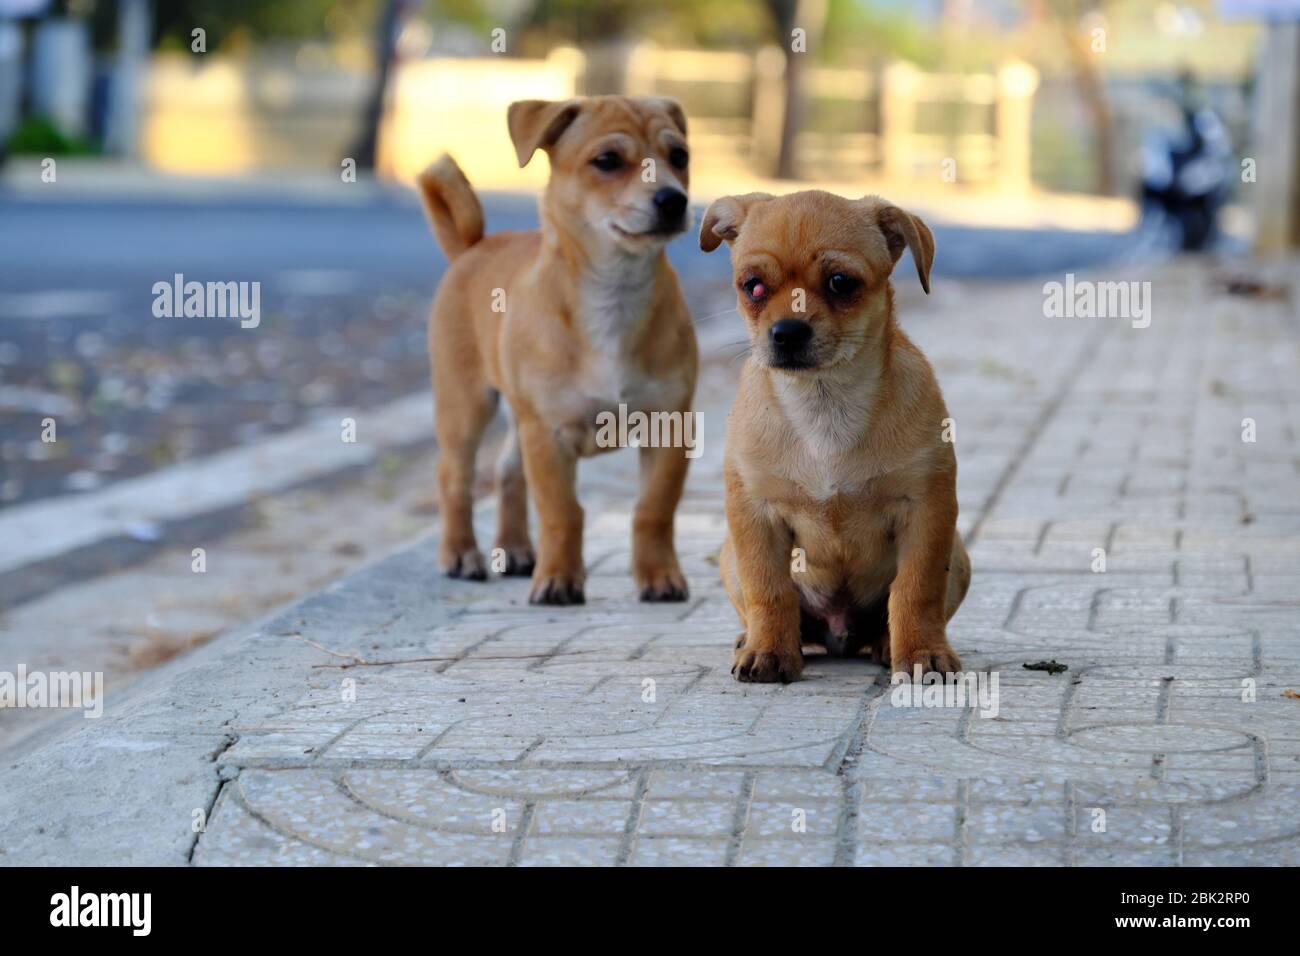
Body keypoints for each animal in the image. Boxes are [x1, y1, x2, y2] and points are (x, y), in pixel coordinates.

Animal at [416, 97, 702, 606]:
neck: (614, 292)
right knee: (454, 476)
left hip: (517, 420)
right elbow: (561, 512)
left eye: (680, 157)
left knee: (508, 473)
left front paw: (659, 576)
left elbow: (653, 509)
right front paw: (559, 579)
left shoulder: (669, 427)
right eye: (607, 161)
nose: (673, 200)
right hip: (466, 406)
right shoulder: (547, 436)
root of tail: (472, 247)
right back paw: (461, 553)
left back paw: (514, 550)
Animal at [702, 188, 967, 681]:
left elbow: (916, 589)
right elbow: (769, 589)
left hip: (957, 554)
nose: (787, 331)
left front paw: (922, 652)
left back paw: (887, 644)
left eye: (841, 283)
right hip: (729, 556)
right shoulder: (755, 518)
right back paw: (755, 640)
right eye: (753, 286)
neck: (823, 406)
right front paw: (769, 651)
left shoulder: (927, 513)